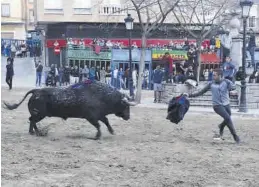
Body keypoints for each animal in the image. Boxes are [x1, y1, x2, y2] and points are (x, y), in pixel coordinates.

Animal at [3, 81, 137, 140]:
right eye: (126, 106)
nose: (128, 117)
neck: (102, 95)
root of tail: (36, 91)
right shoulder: (91, 117)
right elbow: (99, 125)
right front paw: (97, 136)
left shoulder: (99, 115)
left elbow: (106, 122)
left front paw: (111, 131)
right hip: (40, 114)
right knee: (32, 120)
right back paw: (37, 132)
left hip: (39, 114)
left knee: (31, 120)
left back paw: (35, 132)